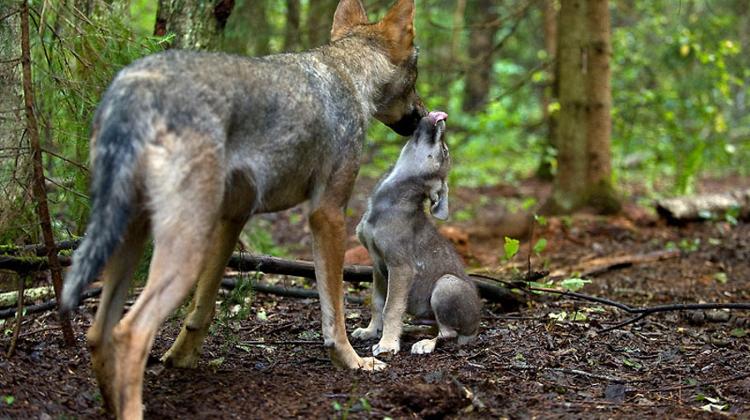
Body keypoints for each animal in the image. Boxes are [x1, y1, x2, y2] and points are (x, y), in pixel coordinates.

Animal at [60, 0, 426, 417]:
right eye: (416, 78)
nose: (423, 114)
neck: (346, 74)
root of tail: (133, 88)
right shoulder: (328, 213)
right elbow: (333, 311)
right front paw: (353, 361)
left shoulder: (232, 217)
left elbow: (201, 310)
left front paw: (181, 358)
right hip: (181, 250)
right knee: (130, 331)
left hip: (131, 240)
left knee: (97, 333)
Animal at [353, 112, 482, 356]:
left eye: (444, 151)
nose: (444, 118)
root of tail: (475, 329)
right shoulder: (377, 264)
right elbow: (376, 302)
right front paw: (371, 331)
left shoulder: (400, 267)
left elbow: (391, 307)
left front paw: (387, 344)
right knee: (435, 327)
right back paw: (412, 329)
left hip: (445, 284)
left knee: (448, 333)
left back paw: (425, 343)